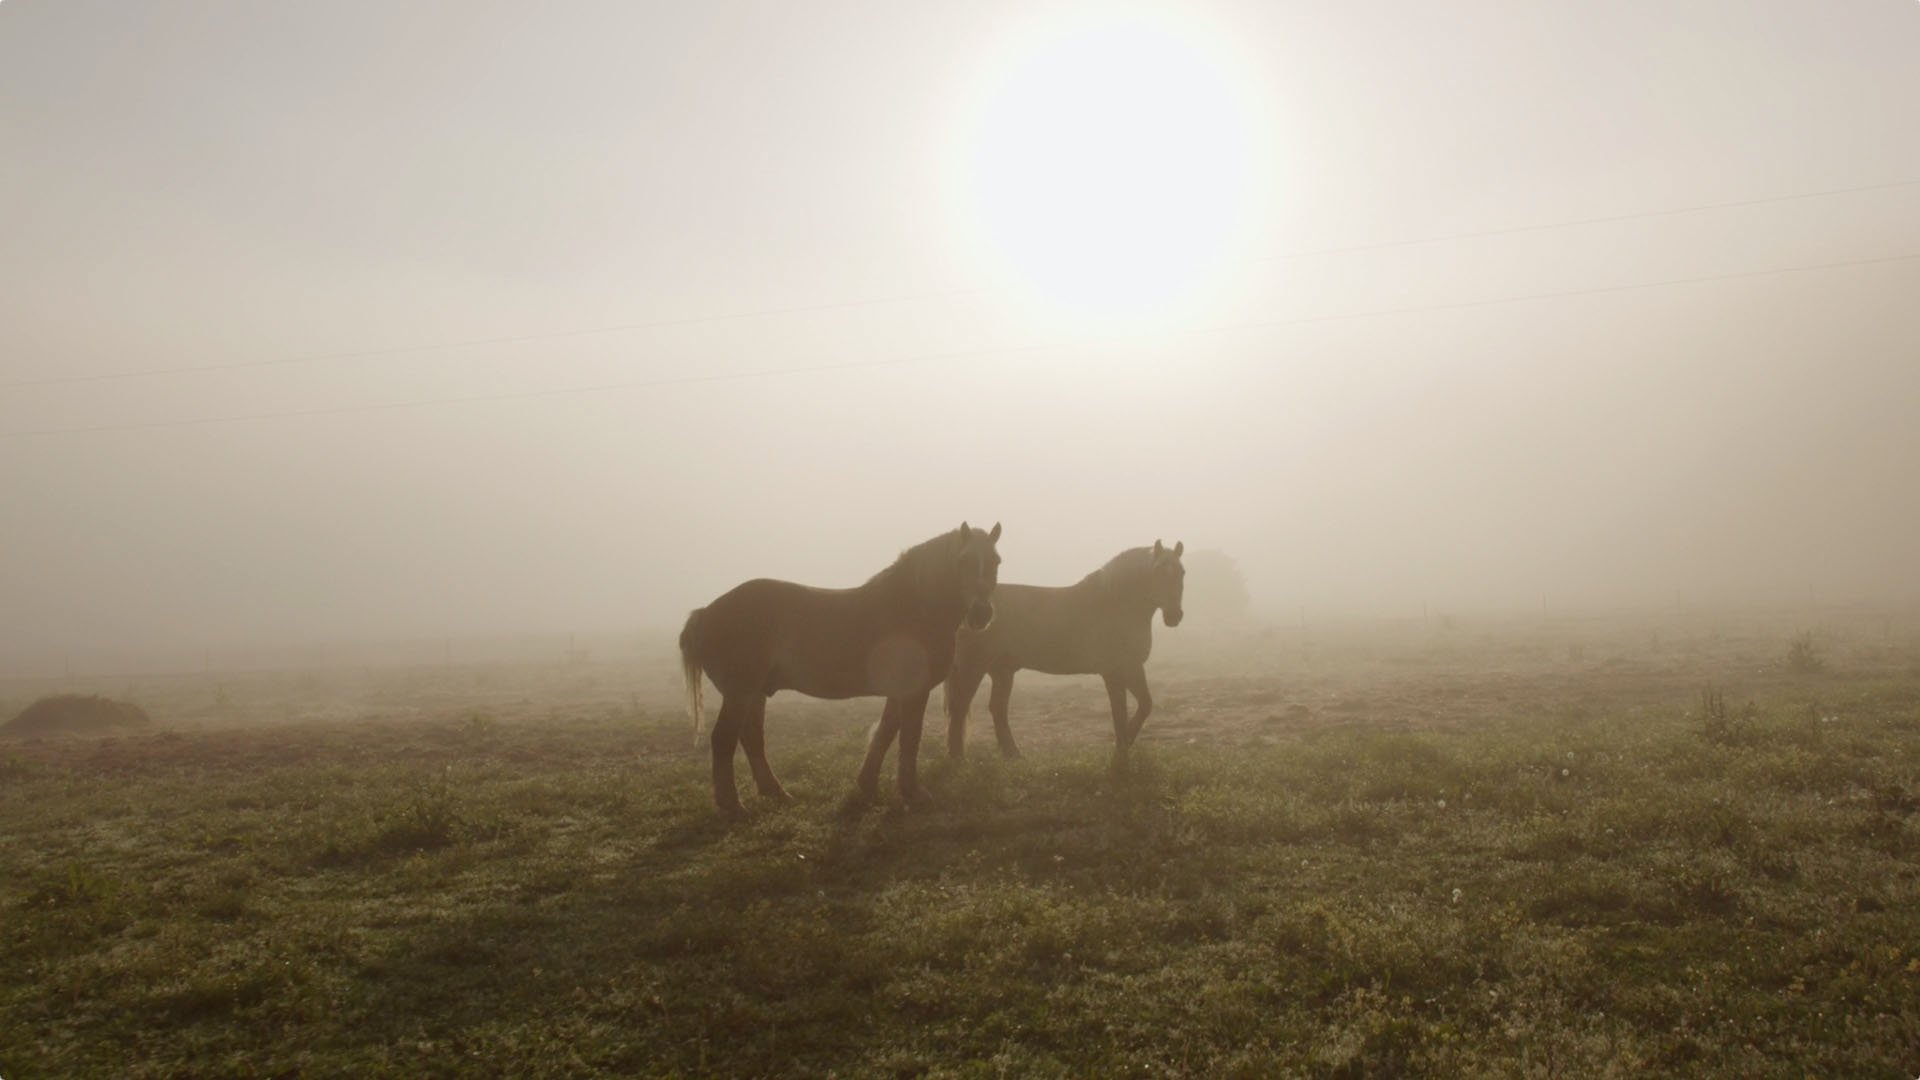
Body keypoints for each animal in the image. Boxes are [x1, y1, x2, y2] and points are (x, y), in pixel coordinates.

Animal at [679, 522, 1002, 815]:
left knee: (752, 738)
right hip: (741, 692)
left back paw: (776, 792)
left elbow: (885, 732)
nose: (982, 613)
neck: (912, 607)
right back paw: (732, 805)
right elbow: (909, 738)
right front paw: (913, 793)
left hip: (755, 693)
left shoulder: (898, 692)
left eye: (996, 561)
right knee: (724, 739)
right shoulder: (914, 692)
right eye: (963, 561)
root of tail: (705, 613)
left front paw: (867, 786)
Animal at [944, 540, 1183, 762]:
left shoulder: (1133, 668)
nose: (1174, 616)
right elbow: (1120, 713)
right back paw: (958, 759)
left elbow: (1145, 705)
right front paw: (1120, 753)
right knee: (961, 708)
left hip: (1002, 671)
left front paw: (1124, 746)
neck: (1115, 604)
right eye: (1158, 571)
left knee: (997, 709)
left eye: (1181, 572)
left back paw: (1014, 755)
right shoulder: (1113, 672)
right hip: (973, 668)